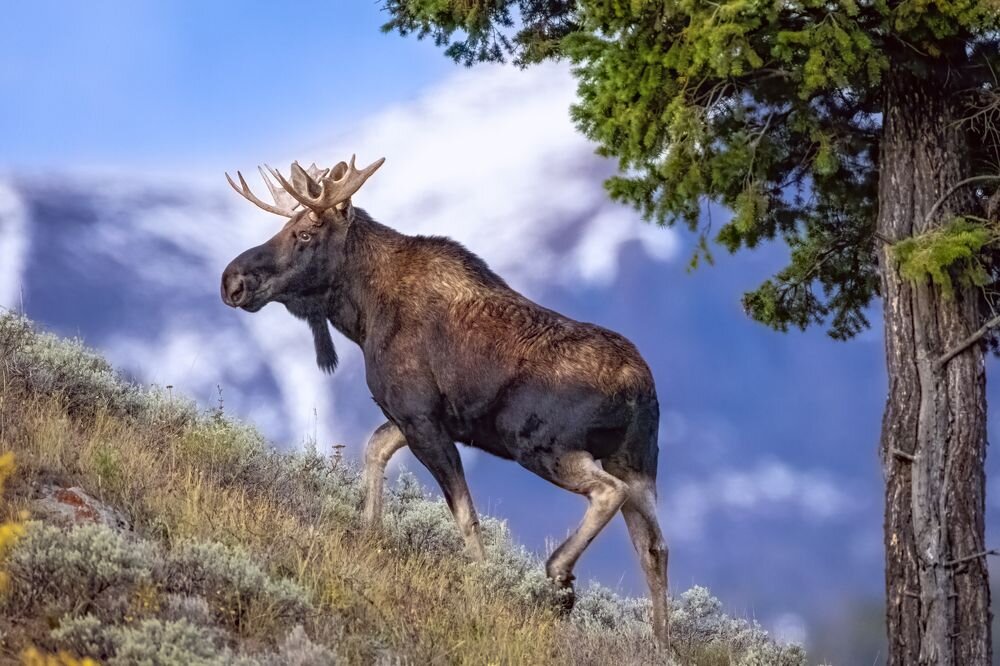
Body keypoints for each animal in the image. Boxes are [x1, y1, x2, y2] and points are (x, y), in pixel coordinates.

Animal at [222, 156, 668, 644]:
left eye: (305, 233)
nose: (232, 280)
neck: (361, 313)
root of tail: (640, 387)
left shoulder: (420, 416)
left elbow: (465, 514)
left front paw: (486, 584)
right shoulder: (414, 416)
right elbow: (374, 449)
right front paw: (369, 532)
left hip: (541, 446)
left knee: (609, 494)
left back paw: (558, 575)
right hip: (636, 460)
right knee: (654, 546)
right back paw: (661, 642)